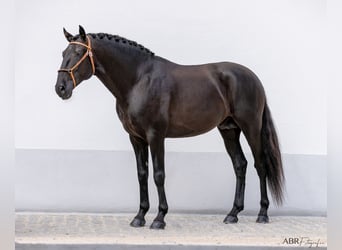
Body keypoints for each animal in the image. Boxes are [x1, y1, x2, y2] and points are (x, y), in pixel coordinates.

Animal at [55, 26, 284, 229]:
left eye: (79, 53)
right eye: (63, 53)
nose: (61, 88)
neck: (138, 80)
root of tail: (253, 77)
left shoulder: (155, 135)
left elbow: (158, 174)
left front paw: (159, 218)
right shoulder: (136, 138)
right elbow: (142, 174)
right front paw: (139, 217)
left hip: (250, 127)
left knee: (260, 165)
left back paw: (262, 214)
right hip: (228, 130)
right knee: (240, 165)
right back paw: (233, 214)